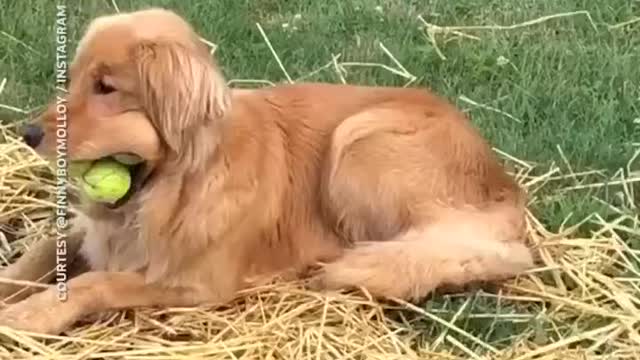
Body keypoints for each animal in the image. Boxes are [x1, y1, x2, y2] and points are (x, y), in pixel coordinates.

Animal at [0, 7, 528, 334]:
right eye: (72, 80)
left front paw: (33, 315)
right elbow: (42, 252)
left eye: (106, 88)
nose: (28, 133)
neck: (178, 189)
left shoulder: (197, 283)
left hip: (358, 141)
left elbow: (95, 282)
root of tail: (507, 188)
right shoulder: (96, 232)